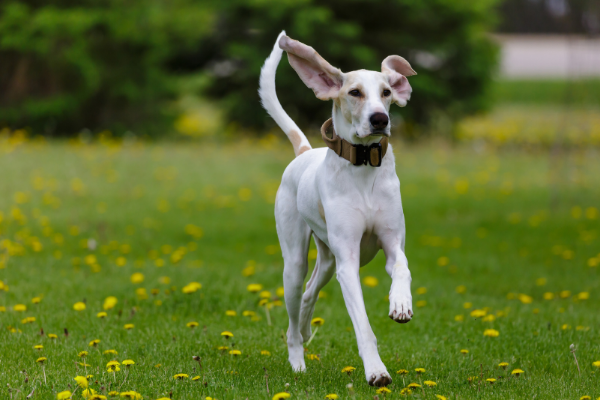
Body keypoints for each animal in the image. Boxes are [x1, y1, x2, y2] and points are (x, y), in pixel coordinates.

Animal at [258, 31, 418, 388]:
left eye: (387, 92)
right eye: (354, 92)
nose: (380, 119)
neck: (365, 168)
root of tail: (305, 151)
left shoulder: (392, 244)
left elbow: (402, 267)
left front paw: (401, 302)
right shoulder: (348, 263)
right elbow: (363, 326)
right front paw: (376, 371)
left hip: (327, 260)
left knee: (309, 294)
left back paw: (307, 330)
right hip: (296, 262)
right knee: (293, 316)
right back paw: (297, 361)